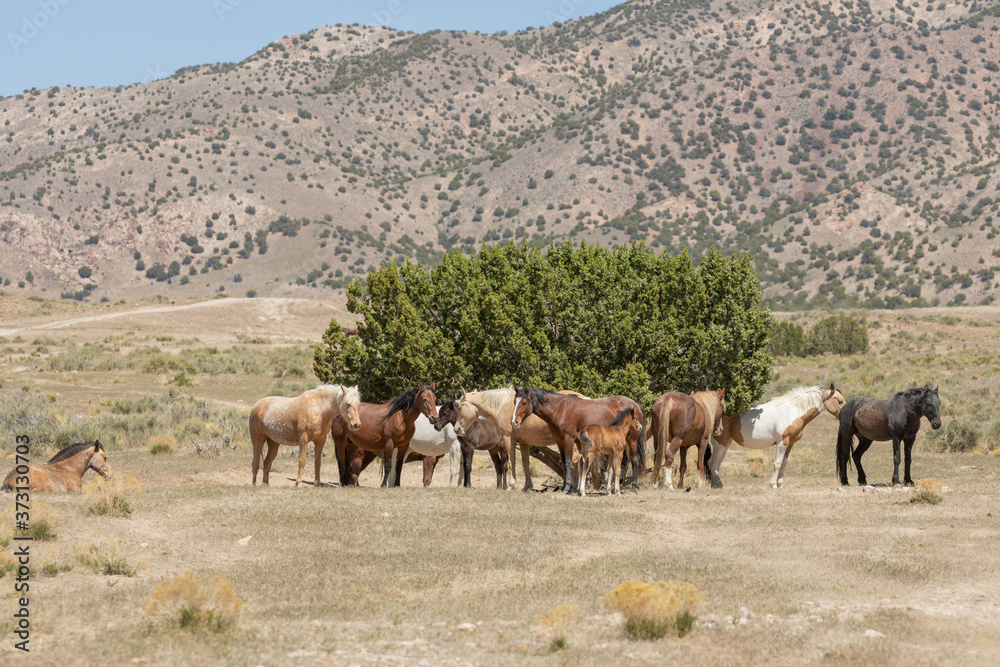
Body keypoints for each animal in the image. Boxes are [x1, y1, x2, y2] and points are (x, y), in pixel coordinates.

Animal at [458, 386, 588, 490]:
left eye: (459, 407)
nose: (457, 429)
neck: (502, 406)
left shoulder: (509, 439)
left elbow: (511, 462)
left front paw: (511, 486)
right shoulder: (524, 442)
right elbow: (525, 464)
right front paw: (527, 487)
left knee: (575, 460)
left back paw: (573, 487)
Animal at [512, 386, 644, 496]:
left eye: (524, 402)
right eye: (514, 402)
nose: (514, 422)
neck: (560, 410)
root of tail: (636, 404)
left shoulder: (568, 440)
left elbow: (568, 462)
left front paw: (567, 488)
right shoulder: (560, 441)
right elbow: (564, 463)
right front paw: (565, 487)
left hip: (632, 440)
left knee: (634, 460)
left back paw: (633, 488)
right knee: (623, 463)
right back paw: (614, 488)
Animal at [708, 386, 848, 490]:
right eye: (840, 401)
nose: (846, 416)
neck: (793, 412)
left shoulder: (790, 443)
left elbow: (784, 464)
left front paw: (780, 484)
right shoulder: (782, 442)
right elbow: (777, 463)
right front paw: (773, 484)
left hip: (726, 444)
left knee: (716, 464)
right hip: (720, 443)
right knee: (712, 463)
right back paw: (716, 485)